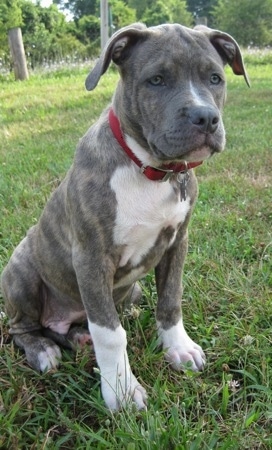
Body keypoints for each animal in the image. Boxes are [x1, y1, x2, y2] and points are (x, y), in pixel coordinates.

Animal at [1, 22, 250, 412]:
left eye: (215, 78)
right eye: (156, 80)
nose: (206, 118)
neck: (149, 169)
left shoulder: (177, 242)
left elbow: (171, 300)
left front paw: (179, 348)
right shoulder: (91, 258)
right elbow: (110, 333)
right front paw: (120, 390)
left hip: (129, 290)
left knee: (78, 325)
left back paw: (80, 337)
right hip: (22, 272)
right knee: (22, 327)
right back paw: (43, 350)